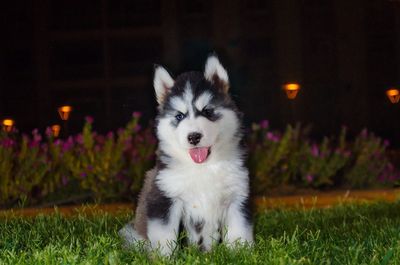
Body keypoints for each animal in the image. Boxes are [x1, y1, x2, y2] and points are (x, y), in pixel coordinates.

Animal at [119, 55, 255, 254]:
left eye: (207, 111)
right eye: (179, 116)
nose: (193, 137)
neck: (203, 167)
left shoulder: (237, 197)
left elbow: (239, 232)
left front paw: (239, 254)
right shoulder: (164, 197)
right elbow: (165, 236)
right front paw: (164, 257)